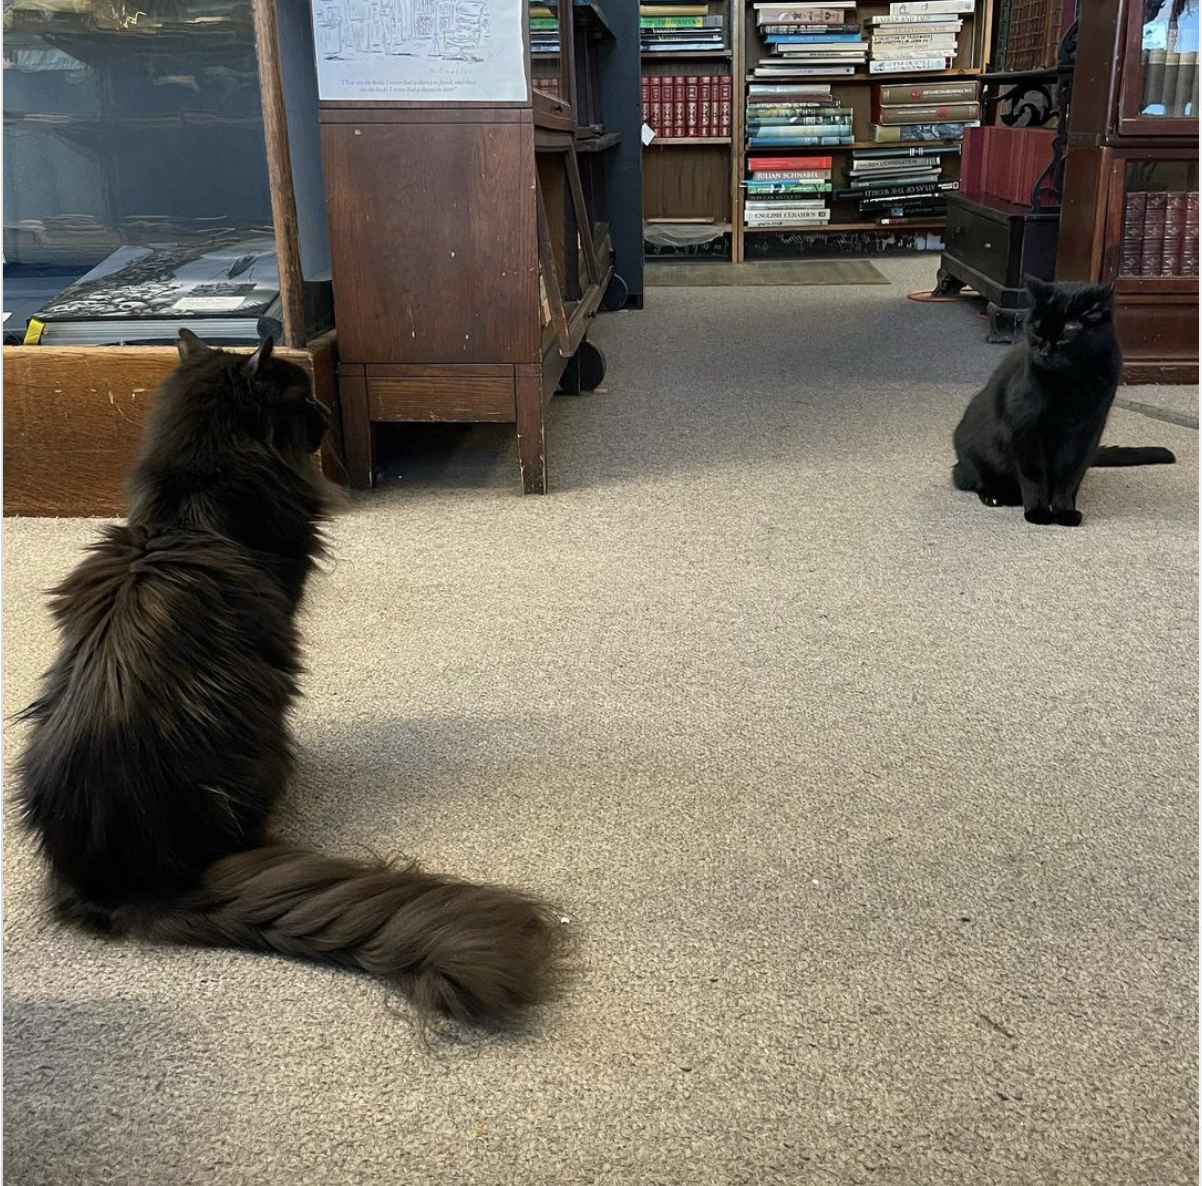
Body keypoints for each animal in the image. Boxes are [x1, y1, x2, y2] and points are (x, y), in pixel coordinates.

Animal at [951, 278, 1168, 528]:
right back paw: (994, 494)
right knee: (966, 476)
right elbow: (1034, 478)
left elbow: (1067, 477)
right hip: (977, 454)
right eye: (1036, 328)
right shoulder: (1026, 432)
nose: (1044, 351)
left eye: (1067, 331)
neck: (1071, 381)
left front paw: (1064, 511)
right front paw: (1037, 511)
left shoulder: (1084, 435)